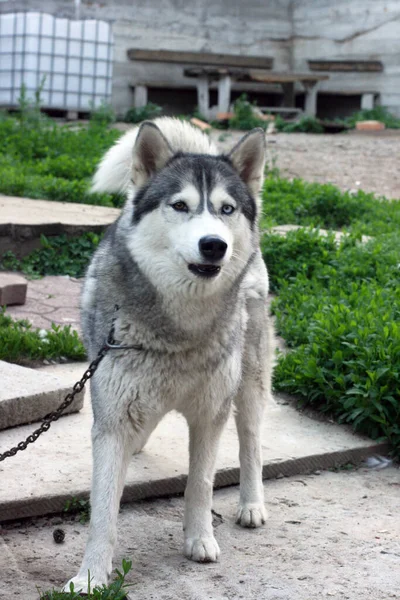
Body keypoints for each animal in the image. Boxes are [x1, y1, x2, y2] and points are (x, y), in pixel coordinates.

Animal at [65, 116, 276, 592]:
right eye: (180, 205)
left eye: (226, 209)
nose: (214, 244)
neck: (178, 331)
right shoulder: (112, 418)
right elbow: (103, 510)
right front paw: (91, 577)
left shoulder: (211, 413)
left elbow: (200, 483)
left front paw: (200, 540)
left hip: (249, 382)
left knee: (252, 442)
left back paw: (252, 504)